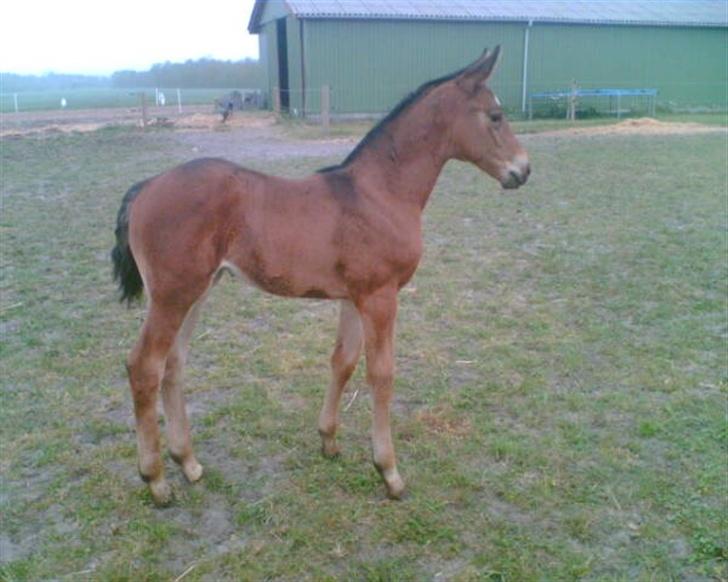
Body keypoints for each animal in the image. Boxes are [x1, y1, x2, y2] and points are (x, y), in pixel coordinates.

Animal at [112, 48, 528, 506]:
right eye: (495, 116)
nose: (523, 170)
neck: (379, 193)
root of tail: (147, 187)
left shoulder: (354, 296)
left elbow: (342, 362)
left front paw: (328, 441)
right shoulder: (381, 297)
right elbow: (381, 374)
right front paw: (389, 472)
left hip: (197, 291)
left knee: (173, 364)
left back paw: (187, 463)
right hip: (173, 295)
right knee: (144, 367)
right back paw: (155, 480)